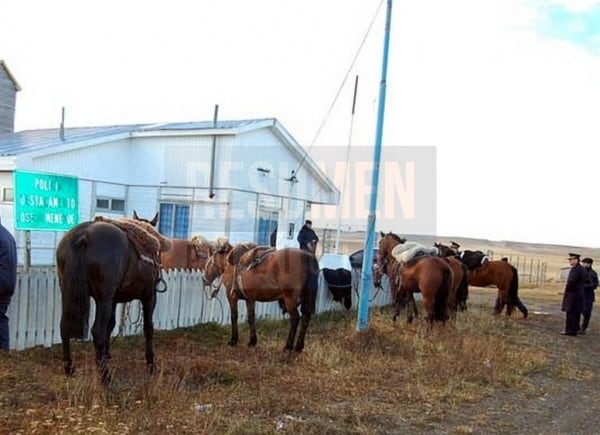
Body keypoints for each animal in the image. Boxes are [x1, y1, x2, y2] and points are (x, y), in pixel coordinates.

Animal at [56, 215, 171, 384]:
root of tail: (83, 235)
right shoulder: (149, 297)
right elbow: (148, 328)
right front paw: (151, 365)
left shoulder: (114, 301)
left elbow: (110, 326)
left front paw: (106, 354)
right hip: (104, 298)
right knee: (97, 331)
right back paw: (106, 378)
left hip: (68, 292)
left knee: (64, 327)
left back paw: (69, 369)